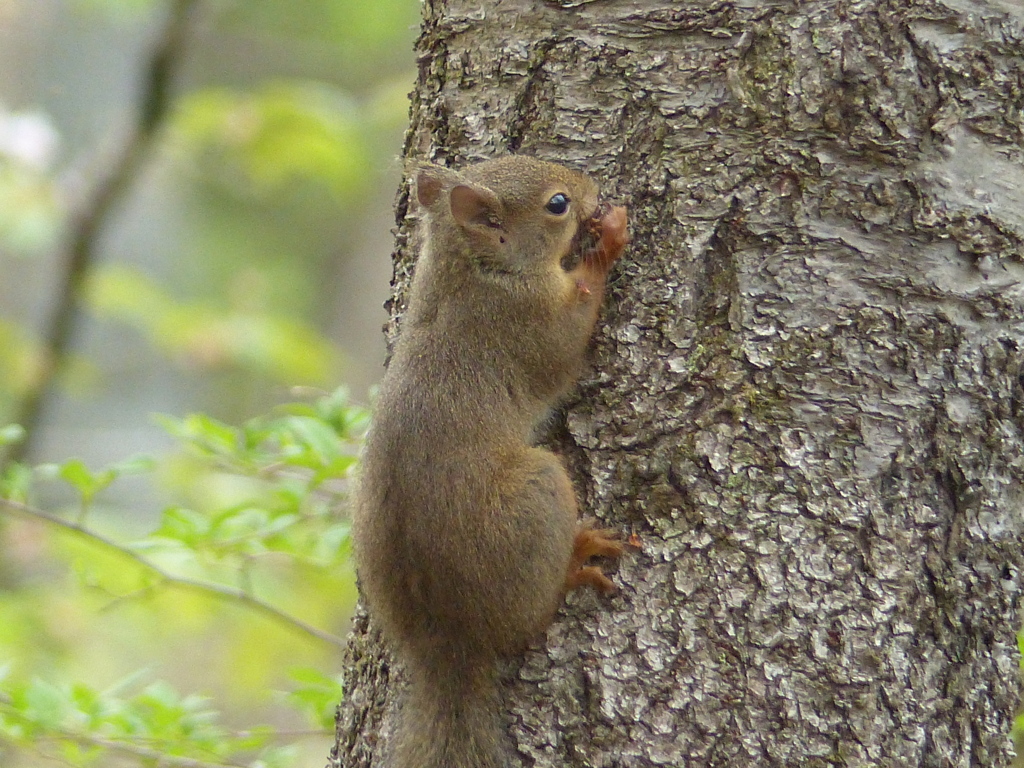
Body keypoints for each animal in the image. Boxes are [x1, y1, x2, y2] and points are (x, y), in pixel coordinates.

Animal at [354, 156, 630, 768]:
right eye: (557, 204)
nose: (593, 189)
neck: (471, 272)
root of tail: (449, 642)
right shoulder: (527, 321)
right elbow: (570, 335)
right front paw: (607, 242)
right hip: (538, 490)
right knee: (534, 614)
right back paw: (578, 557)